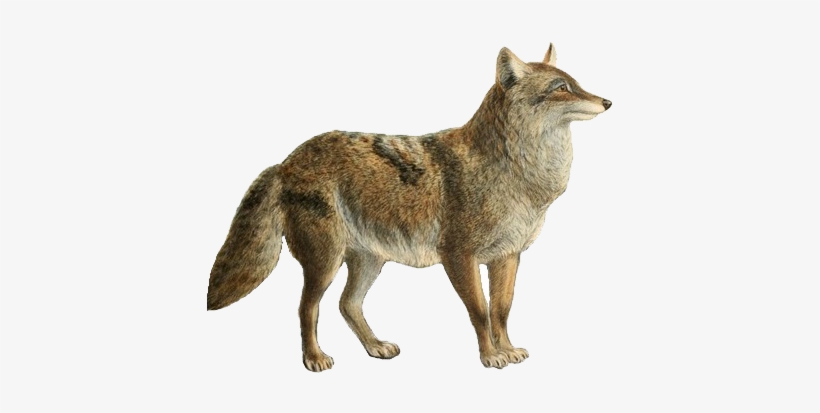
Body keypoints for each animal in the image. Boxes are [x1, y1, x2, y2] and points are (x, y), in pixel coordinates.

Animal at [207, 44, 611, 372]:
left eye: (576, 83)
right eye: (560, 88)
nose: (607, 102)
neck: (521, 173)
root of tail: (284, 162)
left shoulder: (507, 257)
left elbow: (501, 310)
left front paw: (507, 349)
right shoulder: (458, 257)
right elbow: (480, 312)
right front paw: (490, 356)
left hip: (369, 263)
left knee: (346, 305)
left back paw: (374, 346)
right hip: (326, 263)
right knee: (307, 308)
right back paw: (314, 358)